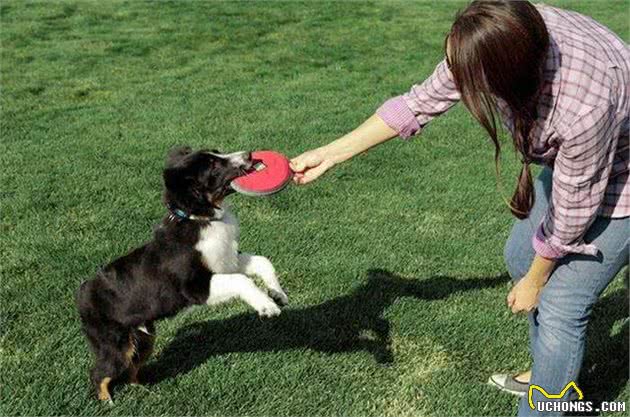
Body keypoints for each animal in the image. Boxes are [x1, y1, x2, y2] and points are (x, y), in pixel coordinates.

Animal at [76, 145, 288, 400]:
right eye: (213, 166)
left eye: (217, 152)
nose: (249, 154)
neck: (200, 219)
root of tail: (82, 291)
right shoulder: (195, 287)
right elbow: (241, 280)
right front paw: (266, 306)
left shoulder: (225, 261)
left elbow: (262, 263)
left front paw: (277, 294)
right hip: (114, 343)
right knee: (100, 372)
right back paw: (108, 401)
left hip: (144, 339)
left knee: (131, 368)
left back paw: (142, 389)